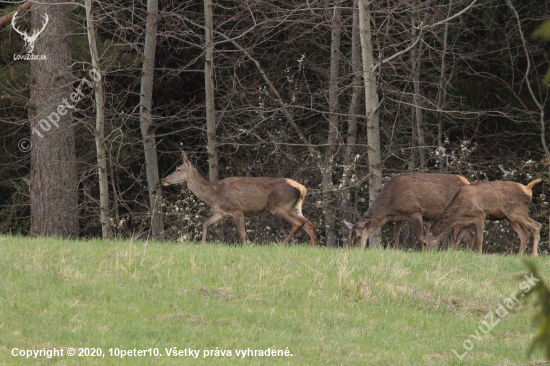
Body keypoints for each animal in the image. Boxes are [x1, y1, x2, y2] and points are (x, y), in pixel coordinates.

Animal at [163, 152, 320, 246]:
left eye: (178, 169)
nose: (164, 179)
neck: (214, 194)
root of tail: (302, 189)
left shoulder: (237, 209)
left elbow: (242, 234)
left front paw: (245, 247)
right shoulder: (223, 212)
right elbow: (205, 223)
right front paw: (202, 244)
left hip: (280, 206)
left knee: (299, 223)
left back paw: (281, 244)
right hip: (295, 207)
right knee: (311, 226)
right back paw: (313, 248)